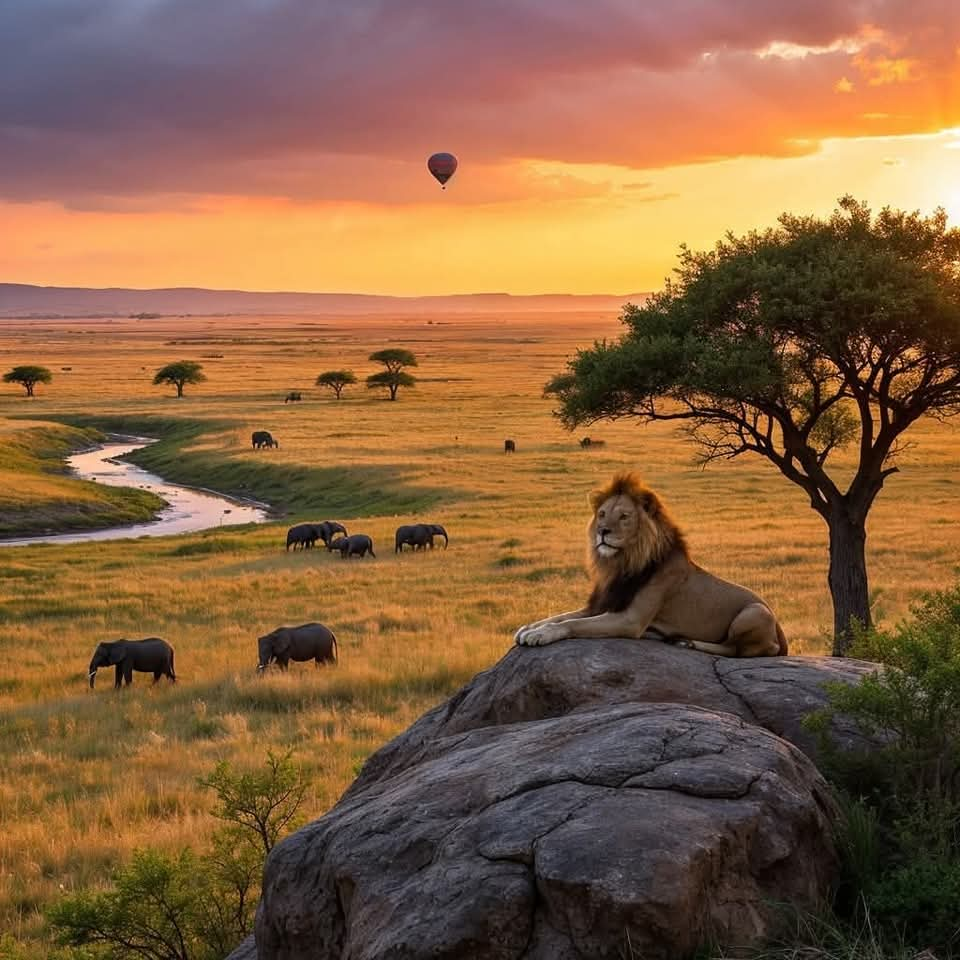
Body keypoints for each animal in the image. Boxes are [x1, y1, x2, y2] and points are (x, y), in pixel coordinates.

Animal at [516, 474, 788, 660]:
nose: (602, 531)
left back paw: (685, 642)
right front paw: (529, 628)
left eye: (624, 516)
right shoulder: (602, 605)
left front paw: (541, 634)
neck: (621, 563)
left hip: (754, 612)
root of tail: (779, 630)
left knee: (738, 649)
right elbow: (561, 616)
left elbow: (572, 624)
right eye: (602, 514)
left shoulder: (630, 619)